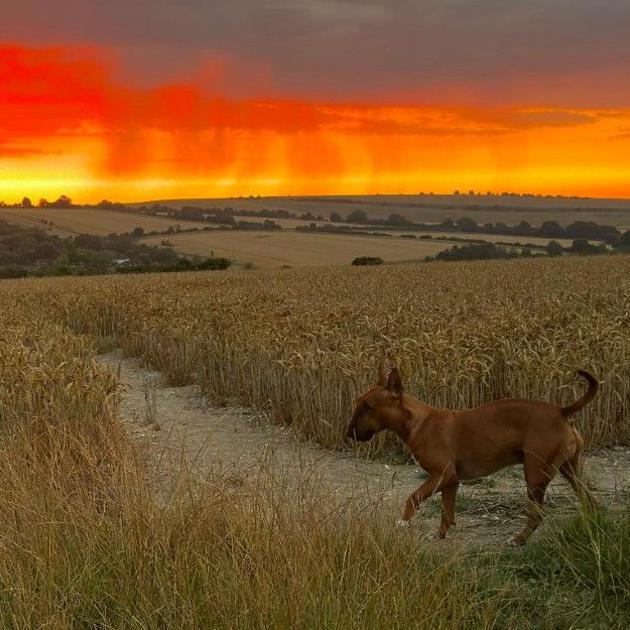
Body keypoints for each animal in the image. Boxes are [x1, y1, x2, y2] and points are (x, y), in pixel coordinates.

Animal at [348, 368, 600, 544]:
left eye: (367, 407)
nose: (348, 432)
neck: (418, 421)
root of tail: (561, 411)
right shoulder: (450, 482)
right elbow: (446, 512)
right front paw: (440, 535)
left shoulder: (440, 476)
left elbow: (413, 497)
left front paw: (404, 521)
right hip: (569, 471)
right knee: (589, 499)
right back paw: (592, 526)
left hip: (535, 476)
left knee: (537, 514)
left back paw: (519, 539)